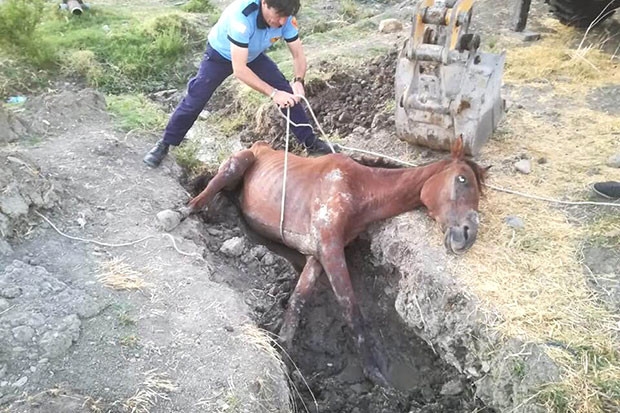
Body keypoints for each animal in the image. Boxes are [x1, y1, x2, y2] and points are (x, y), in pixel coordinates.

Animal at [172, 135, 486, 384]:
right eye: (462, 180)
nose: (468, 235)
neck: (358, 189)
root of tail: (260, 146)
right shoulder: (330, 248)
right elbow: (352, 310)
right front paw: (373, 372)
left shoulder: (319, 252)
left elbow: (298, 299)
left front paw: (284, 350)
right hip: (237, 163)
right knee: (202, 197)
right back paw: (183, 213)